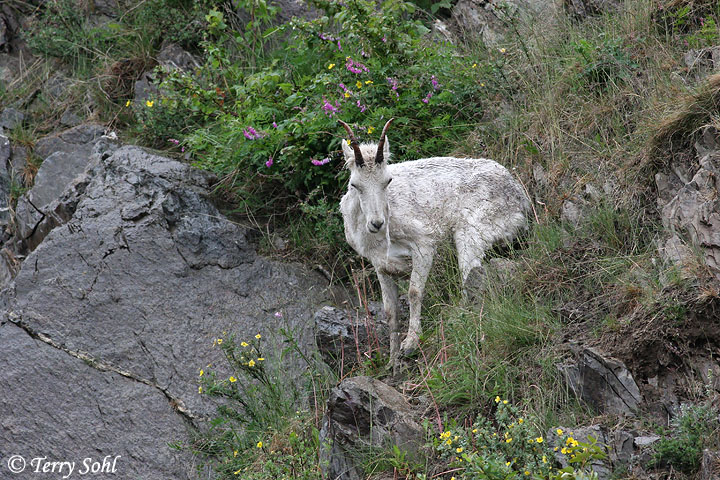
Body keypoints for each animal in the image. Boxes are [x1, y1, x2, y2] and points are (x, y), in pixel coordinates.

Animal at [338, 119, 530, 369]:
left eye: (387, 181)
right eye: (355, 184)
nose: (377, 223)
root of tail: (520, 199)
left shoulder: (423, 245)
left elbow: (414, 292)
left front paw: (410, 344)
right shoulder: (381, 266)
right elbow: (390, 312)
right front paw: (393, 361)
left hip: (470, 235)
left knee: (471, 280)